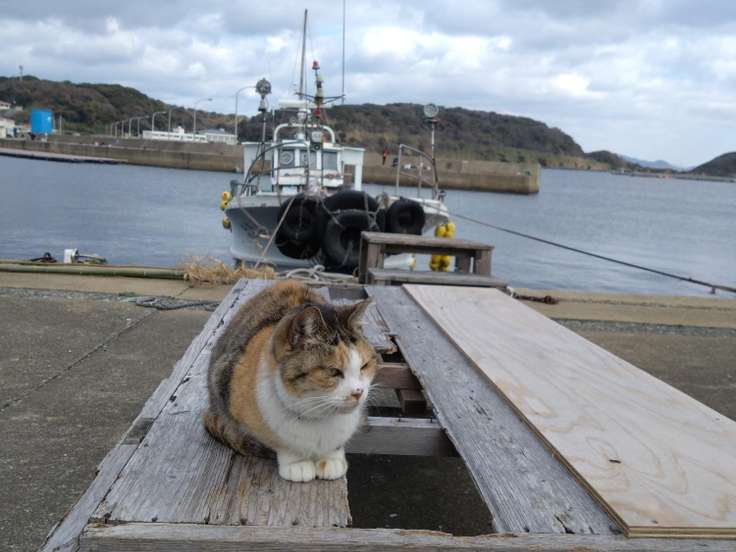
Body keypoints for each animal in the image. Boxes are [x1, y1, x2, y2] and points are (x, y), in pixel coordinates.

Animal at [204, 280, 378, 482]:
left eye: (364, 366)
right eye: (333, 371)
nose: (358, 392)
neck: (319, 417)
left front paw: (332, 459)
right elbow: (282, 444)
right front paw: (297, 464)